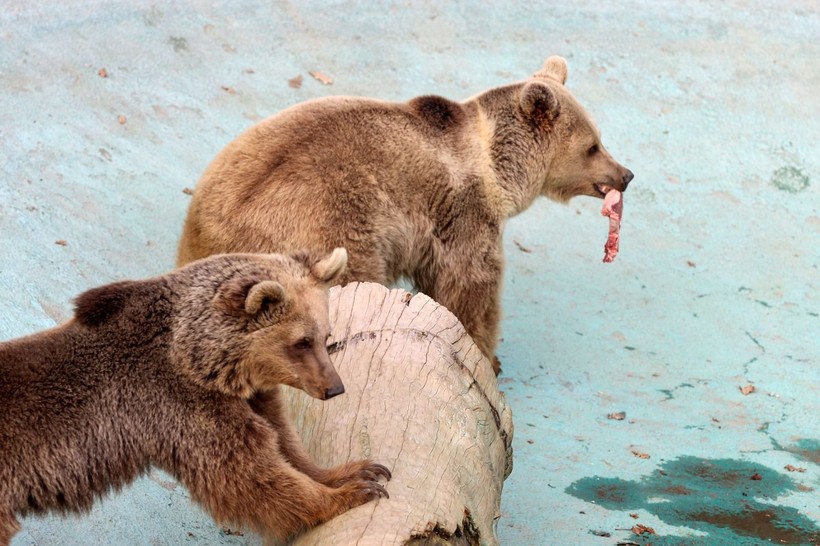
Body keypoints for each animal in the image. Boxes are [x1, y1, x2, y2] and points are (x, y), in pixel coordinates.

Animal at [0, 248, 390, 544]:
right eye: (301, 342)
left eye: (326, 336)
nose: (334, 387)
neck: (203, 362)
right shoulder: (181, 405)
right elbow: (252, 477)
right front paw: (354, 493)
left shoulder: (251, 397)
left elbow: (285, 443)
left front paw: (361, 470)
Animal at [178, 57, 636, 372]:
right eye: (593, 146)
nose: (626, 174)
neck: (497, 167)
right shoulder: (461, 213)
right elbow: (470, 285)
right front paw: (487, 355)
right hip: (332, 233)